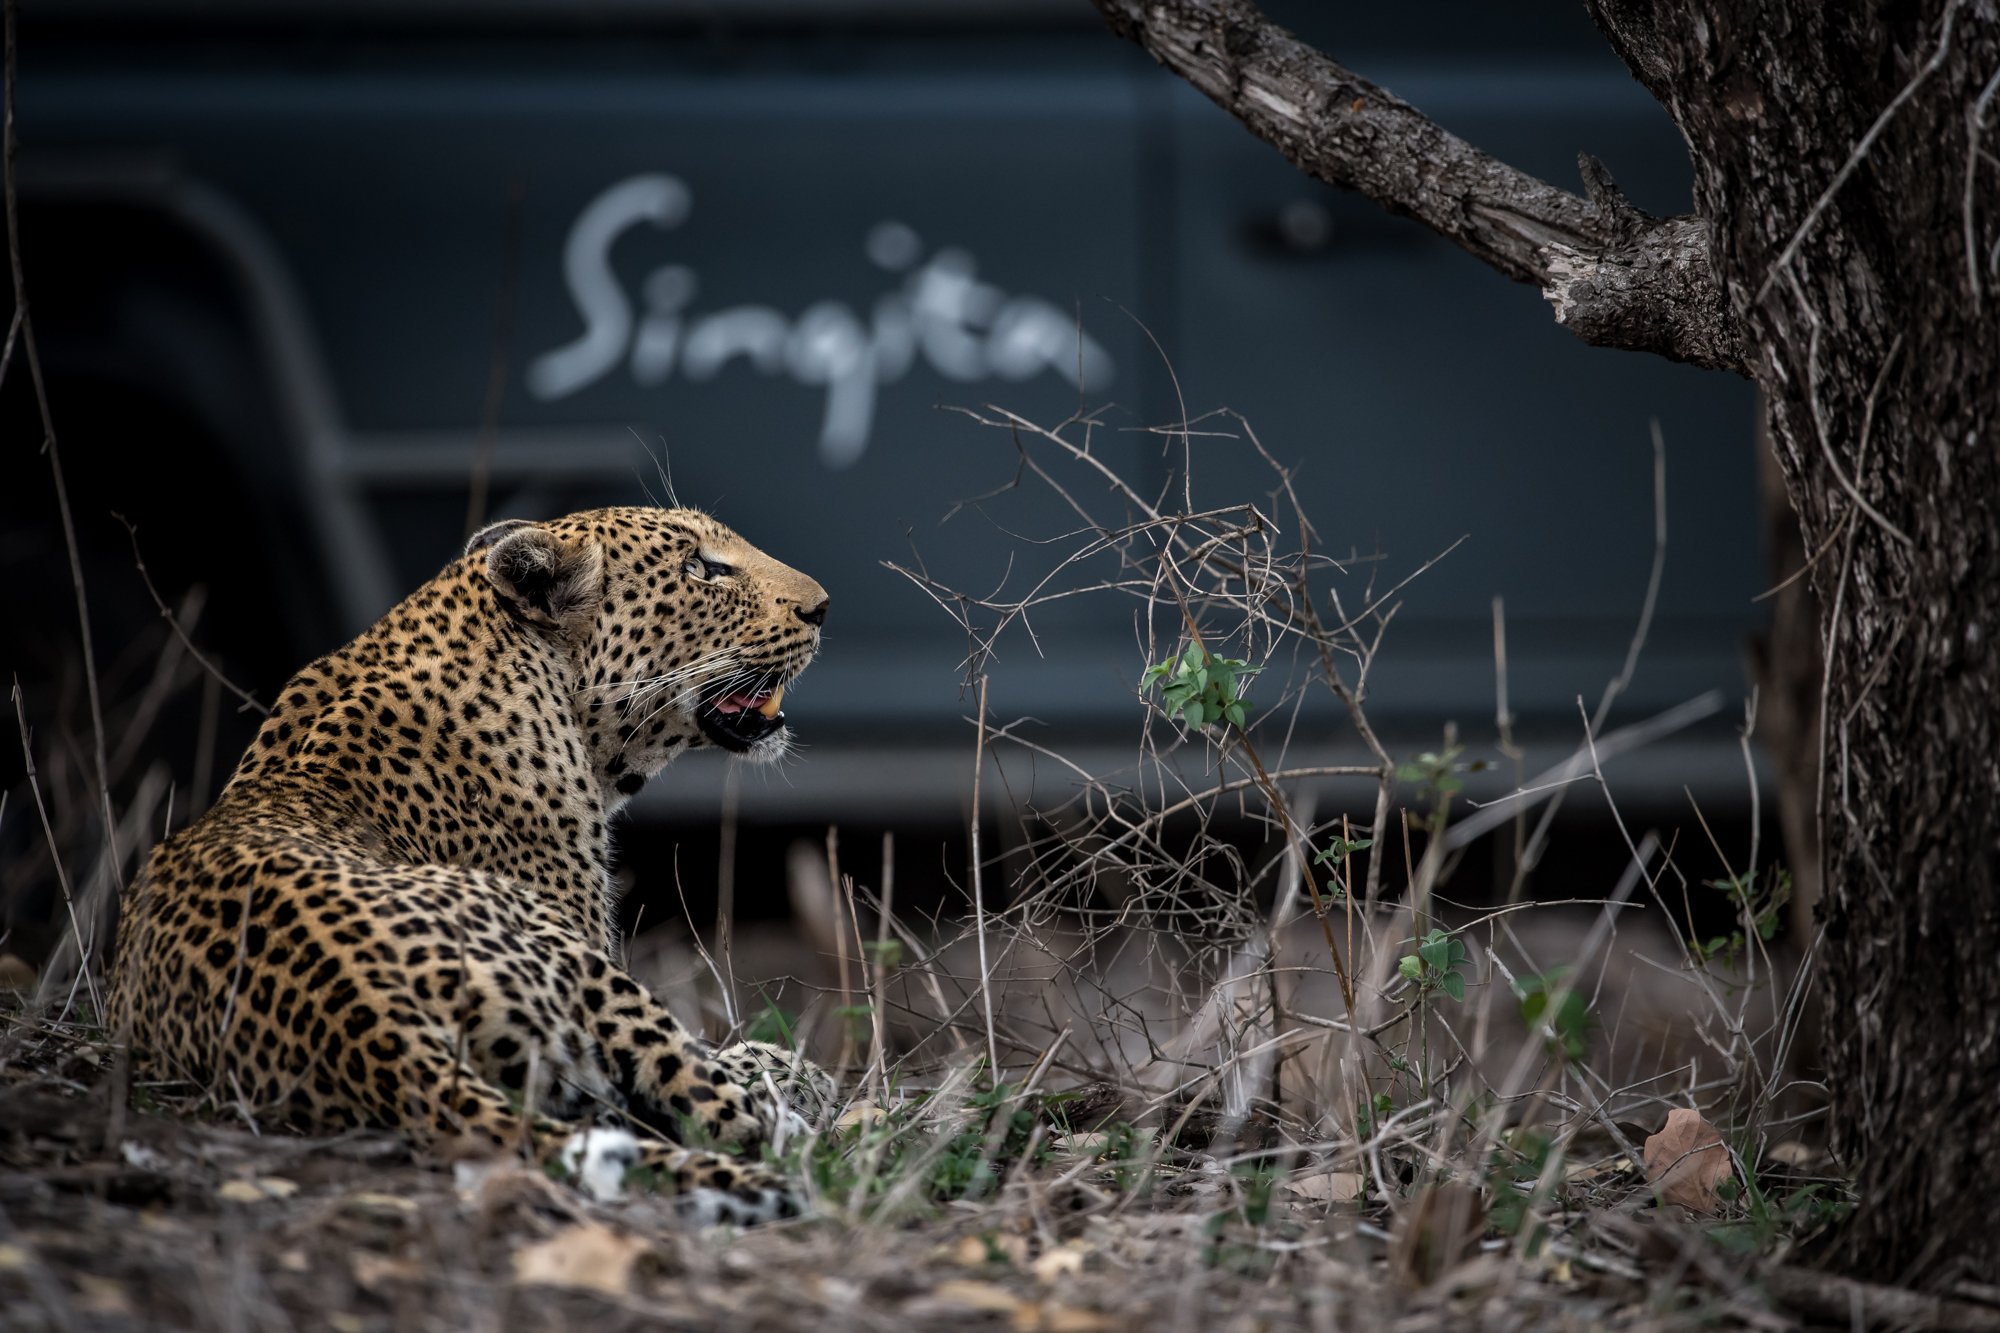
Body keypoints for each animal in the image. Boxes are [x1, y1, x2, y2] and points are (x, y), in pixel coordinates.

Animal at [105, 504, 840, 1216]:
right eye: (699, 567)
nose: (824, 606)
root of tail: (368, 1020)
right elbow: (736, 1063)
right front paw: (796, 1066)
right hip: (583, 968)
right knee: (733, 1112)